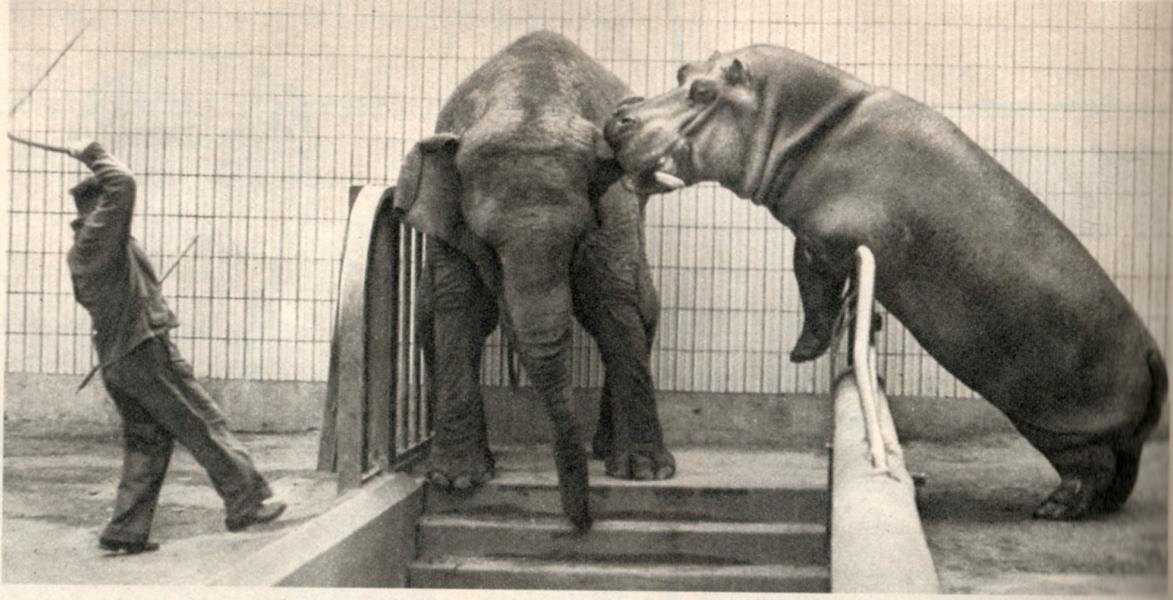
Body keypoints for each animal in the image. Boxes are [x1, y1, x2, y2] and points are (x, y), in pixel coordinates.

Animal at [394, 31, 675, 531]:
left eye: (578, 238)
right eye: (487, 247)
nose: (580, 525)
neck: (530, 106)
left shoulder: (615, 203)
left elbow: (612, 302)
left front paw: (648, 474)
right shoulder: (450, 224)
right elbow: (459, 308)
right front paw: (456, 480)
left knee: (641, 304)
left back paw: (608, 453)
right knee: (429, 314)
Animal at [604, 45, 1167, 520]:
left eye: (703, 91)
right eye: (682, 71)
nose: (620, 116)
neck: (806, 122)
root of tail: (1150, 351)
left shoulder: (819, 242)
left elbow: (815, 297)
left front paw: (801, 354)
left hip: (1063, 425)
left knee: (1091, 467)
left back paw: (1053, 509)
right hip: (1105, 434)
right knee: (1123, 471)